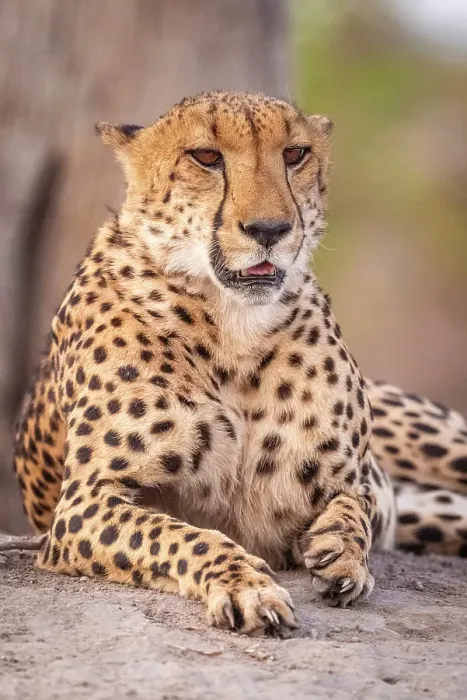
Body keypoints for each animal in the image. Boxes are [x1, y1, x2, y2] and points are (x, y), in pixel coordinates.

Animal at [11, 91, 467, 636]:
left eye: (295, 154)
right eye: (206, 157)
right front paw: (245, 584)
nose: (269, 230)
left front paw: (341, 551)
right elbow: (180, 533)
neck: (234, 330)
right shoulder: (84, 504)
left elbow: (354, 506)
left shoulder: (358, 480)